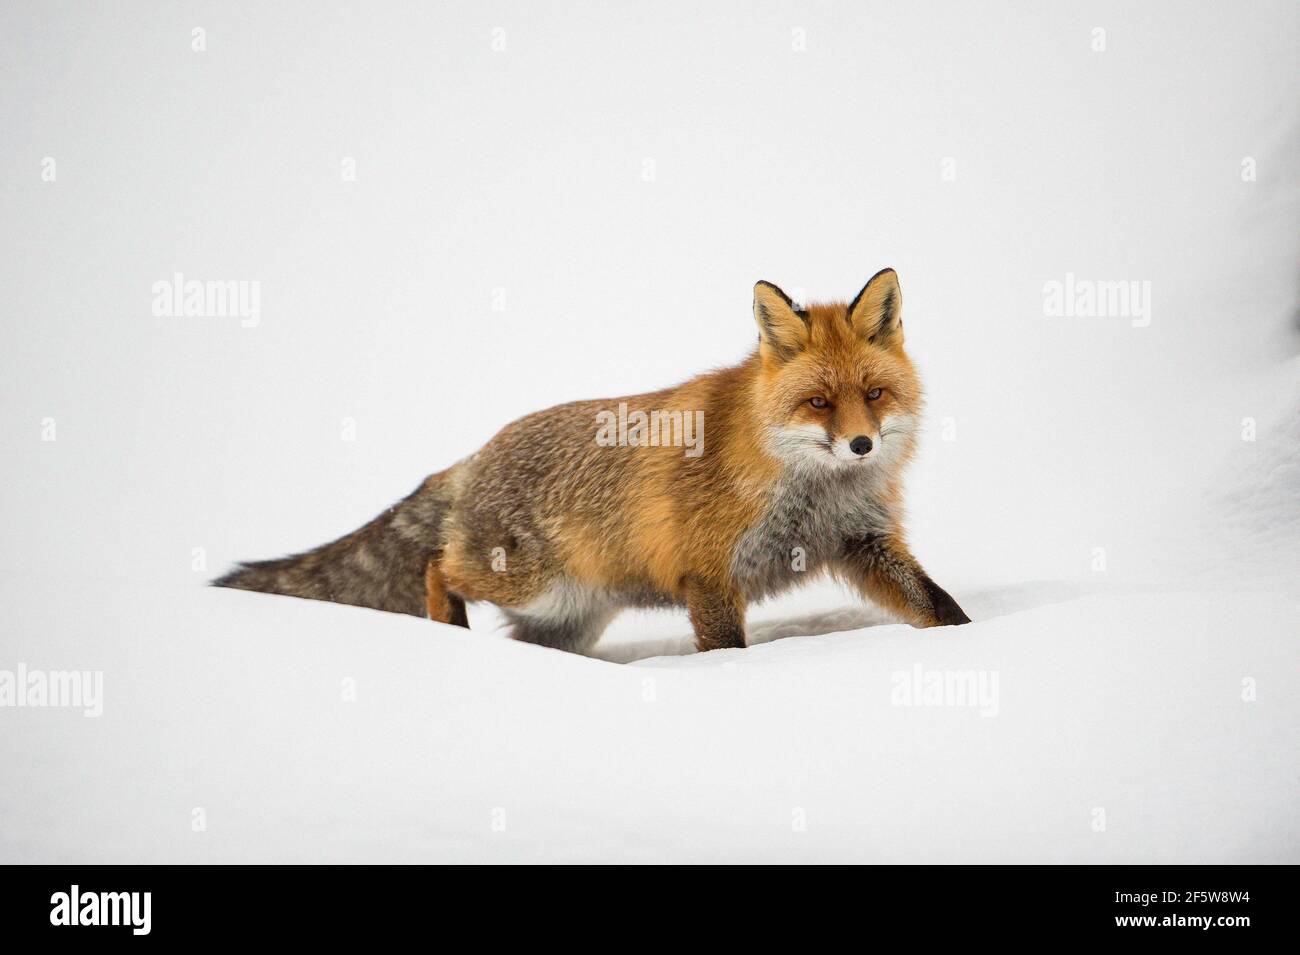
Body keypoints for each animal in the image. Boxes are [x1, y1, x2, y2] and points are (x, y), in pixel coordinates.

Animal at [215, 270, 967, 657]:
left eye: (874, 395)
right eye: (818, 402)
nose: (862, 445)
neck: (809, 488)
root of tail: (474, 454)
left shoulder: (860, 540)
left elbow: (936, 605)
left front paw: (970, 642)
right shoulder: (706, 570)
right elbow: (726, 648)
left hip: (563, 619)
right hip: (528, 583)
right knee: (436, 566)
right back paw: (449, 635)